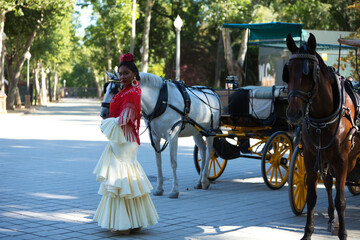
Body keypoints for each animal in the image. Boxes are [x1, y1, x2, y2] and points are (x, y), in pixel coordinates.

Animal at [100, 71, 221, 199]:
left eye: (117, 89)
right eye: (106, 89)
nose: (103, 113)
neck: (161, 101)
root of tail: (213, 93)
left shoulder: (172, 136)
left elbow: (173, 162)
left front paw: (174, 190)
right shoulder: (154, 137)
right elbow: (158, 163)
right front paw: (159, 188)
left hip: (210, 131)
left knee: (209, 152)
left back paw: (205, 180)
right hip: (196, 132)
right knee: (202, 151)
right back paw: (199, 181)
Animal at [284, 32, 360, 240]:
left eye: (308, 72)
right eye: (288, 71)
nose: (293, 114)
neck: (322, 117)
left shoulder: (342, 159)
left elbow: (341, 200)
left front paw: (343, 234)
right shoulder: (311, 157)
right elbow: (311, 197)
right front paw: (308, 233)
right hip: (325, 158)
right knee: (327, 183)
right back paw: (331, 219)